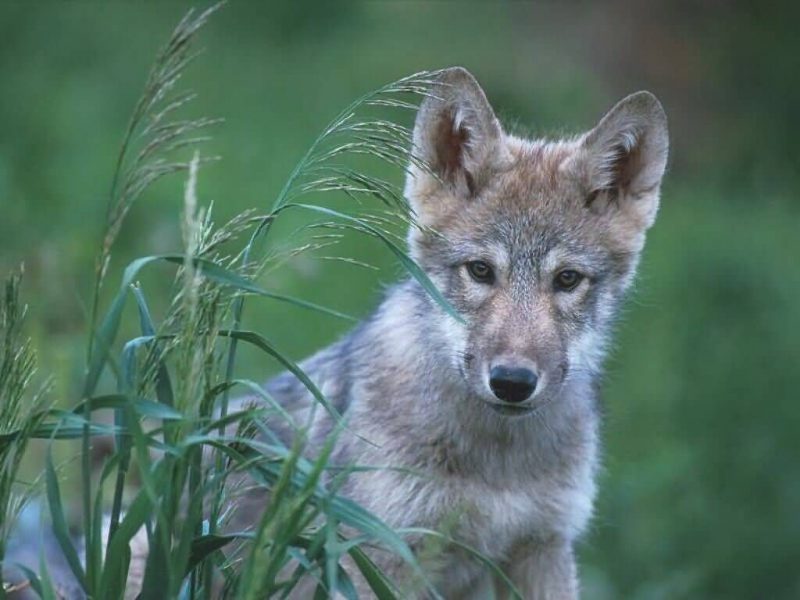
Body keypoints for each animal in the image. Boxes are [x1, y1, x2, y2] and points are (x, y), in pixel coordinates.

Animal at [236, 67, 668, 600]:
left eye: (567, 280)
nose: (512, 383)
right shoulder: (382, 557)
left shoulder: (542, 548)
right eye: (480, 271)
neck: (498, 464)